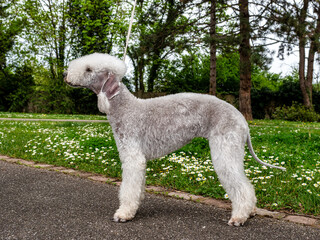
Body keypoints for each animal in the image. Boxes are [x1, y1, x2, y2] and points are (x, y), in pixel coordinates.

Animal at [63, 53, 284, 227]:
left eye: (89, 69)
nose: (65, 75)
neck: (124, 107)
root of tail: (242, 119)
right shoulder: (139, 159)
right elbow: (137, 186)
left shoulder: (132, 157)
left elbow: (128, 188)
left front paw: (124, 214)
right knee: (246, 183)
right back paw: (250, 211)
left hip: (225, 149)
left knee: (240, 185)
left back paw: (239, 217)